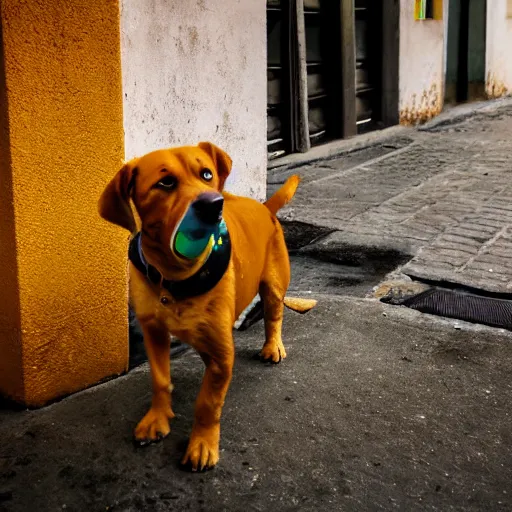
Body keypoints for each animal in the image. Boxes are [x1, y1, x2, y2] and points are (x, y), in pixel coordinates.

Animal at [98, 142, 316, 470]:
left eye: (206, 174)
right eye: (165, 183)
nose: (215, 204)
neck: (176, 278)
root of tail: (265, 208)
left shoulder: (222, 352)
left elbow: (208, 402)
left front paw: (202, 443)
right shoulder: (153, 333)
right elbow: (160, 380)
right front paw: (158, 418)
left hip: (274, 285)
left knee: (273, 315)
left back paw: (273, 346)